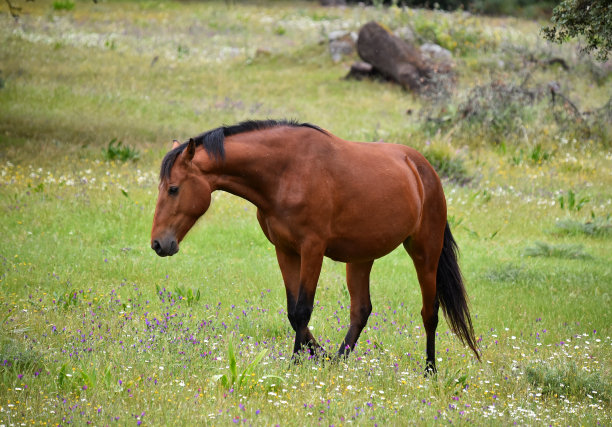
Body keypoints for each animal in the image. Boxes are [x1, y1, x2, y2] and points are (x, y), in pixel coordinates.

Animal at [151, 120, 480, 374]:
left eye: (174, 188)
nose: (158, 243)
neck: (286, 172)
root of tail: (423, 169)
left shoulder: (312, 249)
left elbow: (302, 310)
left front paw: (296, 363)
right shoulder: (285, 251)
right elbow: (292, 311)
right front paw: (317, 355)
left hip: (425, 252)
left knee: (429, 312)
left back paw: (429, 370)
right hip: (361, 258)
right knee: (361, 311)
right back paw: (338, 363)